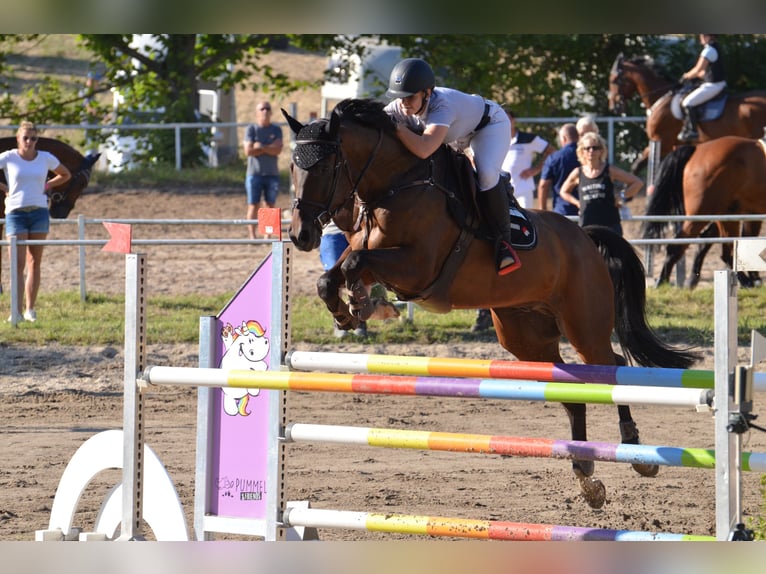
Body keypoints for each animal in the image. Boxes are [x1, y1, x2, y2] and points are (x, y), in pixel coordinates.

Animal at [284, 99, 704, 512]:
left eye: (323, 166)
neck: (395, 186)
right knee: (571, 386)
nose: (300, 235)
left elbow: (354, 265)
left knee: (612, 367)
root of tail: (584, 235)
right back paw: (586, 475)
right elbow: (331, 276)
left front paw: (365, 306)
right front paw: (351, 311)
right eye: (292, 166)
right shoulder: (376, 256)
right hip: (526, 338)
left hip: (583, 325)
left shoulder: (417, 267)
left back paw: (635, 452)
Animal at [612, 54, 766, 176]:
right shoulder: (673, 145)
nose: (614, 107)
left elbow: (636, 166)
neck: (662, 97)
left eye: (614, 80)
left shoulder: (662, 142)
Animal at [640, 135, 766, 288]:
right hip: (702, 213)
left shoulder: (752, 212)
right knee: (678, 246)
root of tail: (697, 149)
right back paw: (662, 282)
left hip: (726, 213)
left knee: (726, 249)